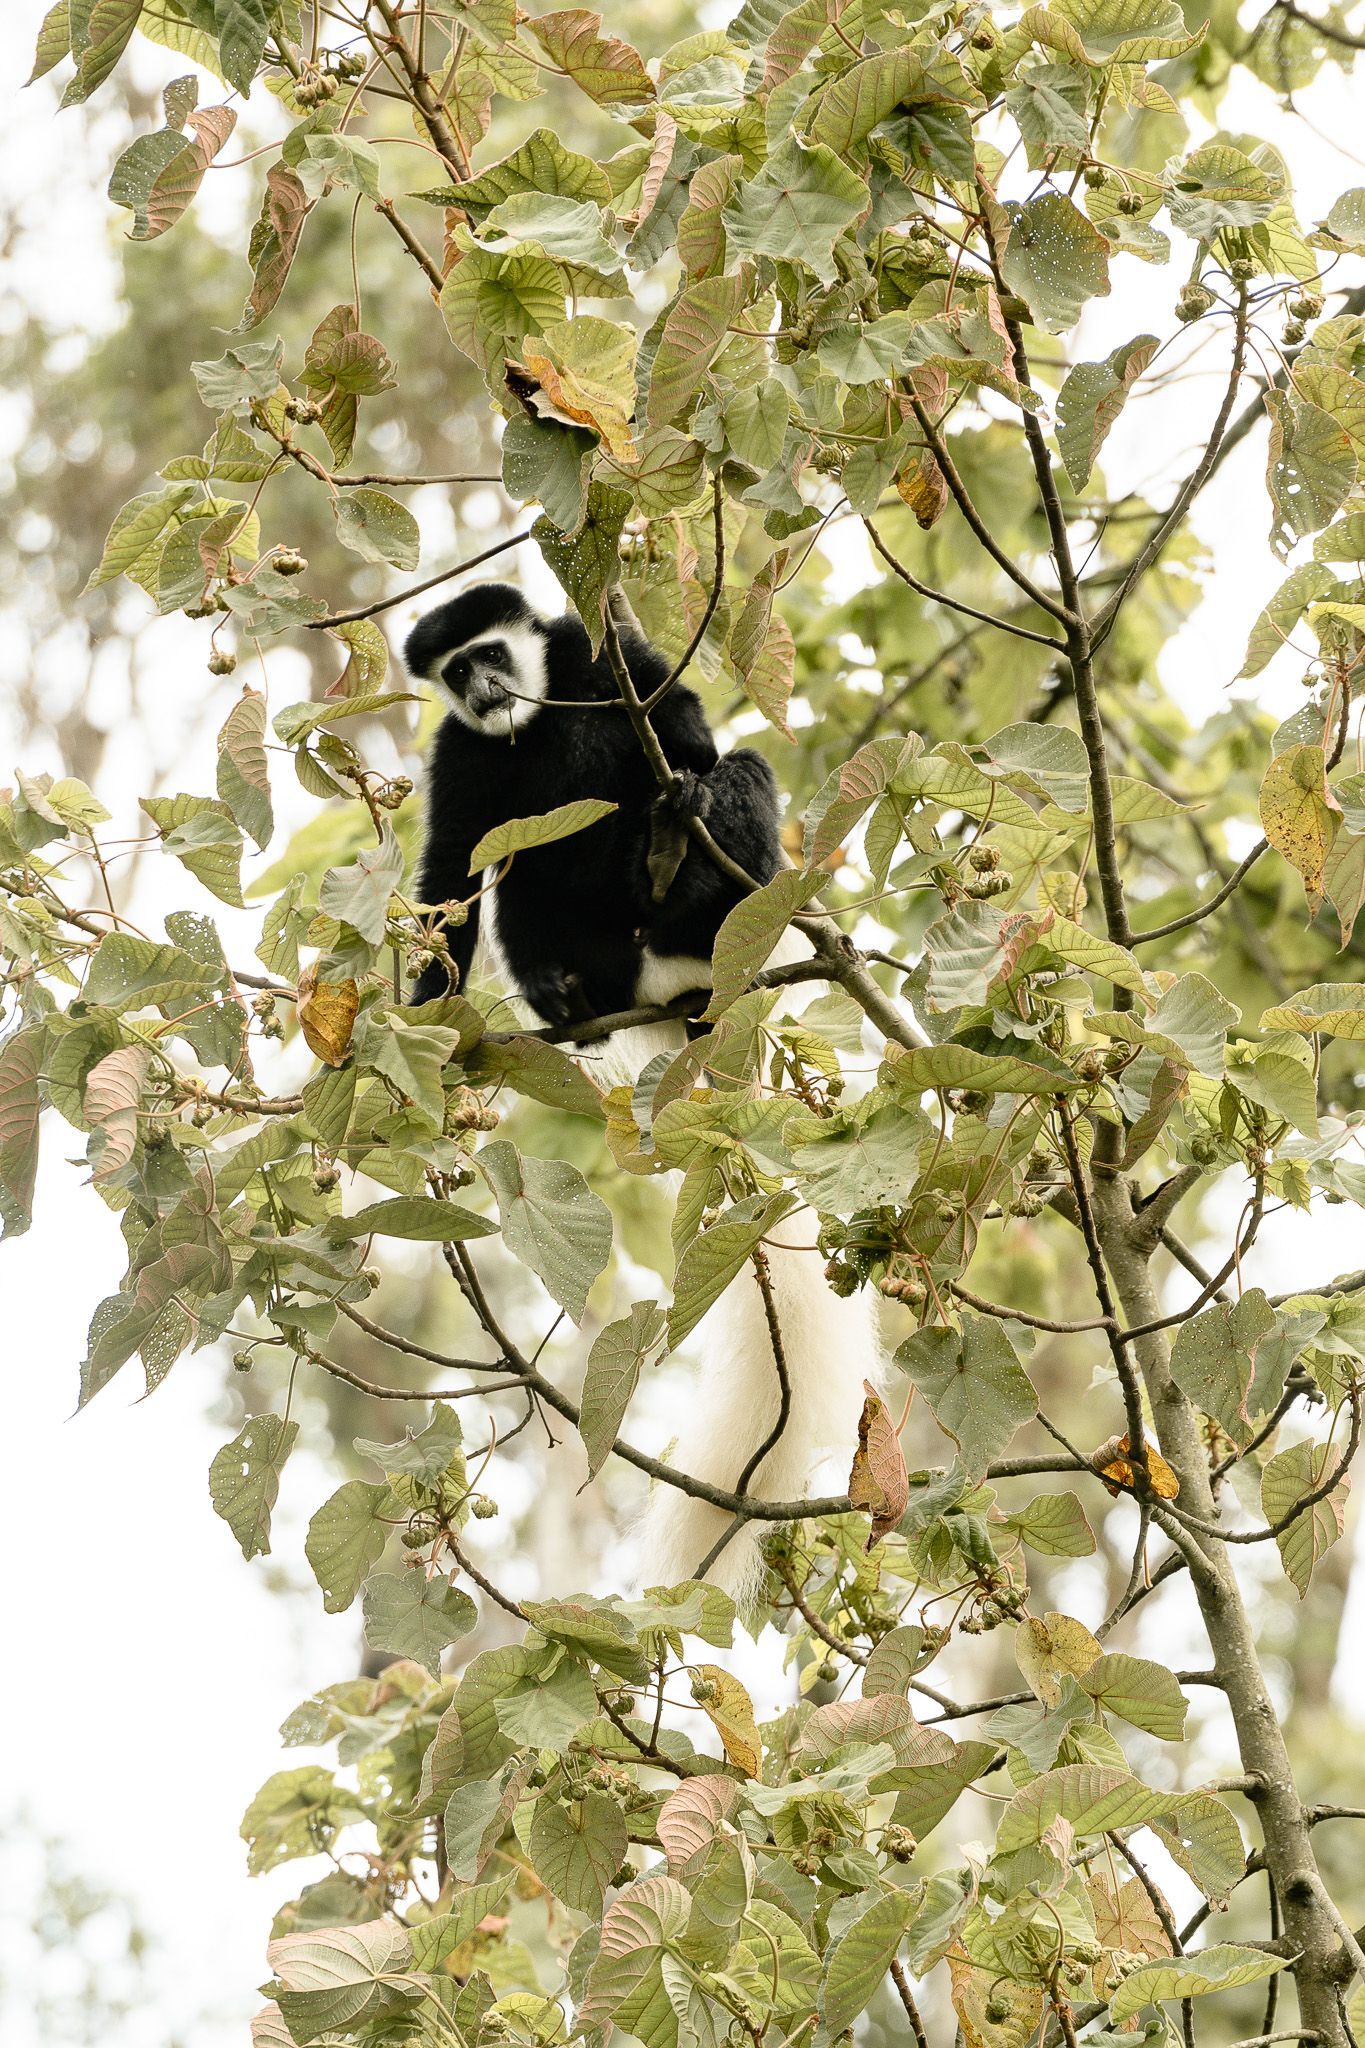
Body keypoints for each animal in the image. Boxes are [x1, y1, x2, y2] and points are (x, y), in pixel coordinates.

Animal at [403, 582, 881, 1602]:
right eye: (456, 672)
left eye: (490, 653)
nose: (486, 687)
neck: (534, 723)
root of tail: (672, 989)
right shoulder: (459, 754)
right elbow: (454, 874)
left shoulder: (609, 659)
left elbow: (683, 730)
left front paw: (680, 795)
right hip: (592, 946)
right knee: (519, 884)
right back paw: (567, 996)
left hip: (728, 899)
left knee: (734, 776)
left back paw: (674, 863)